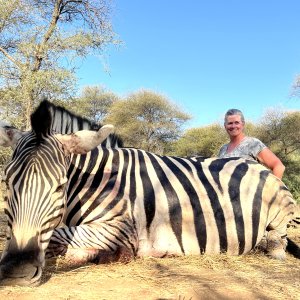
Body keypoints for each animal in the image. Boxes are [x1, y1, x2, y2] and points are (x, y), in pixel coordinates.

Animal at [0, 102, 298, 286]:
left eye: (60, 186)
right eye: (8, 182)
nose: (16, 272)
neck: (95, 180)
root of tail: (254, 165)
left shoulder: (121, 228)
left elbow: (60, 236)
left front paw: (101, 255)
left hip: (280, 204)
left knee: (278, 239)